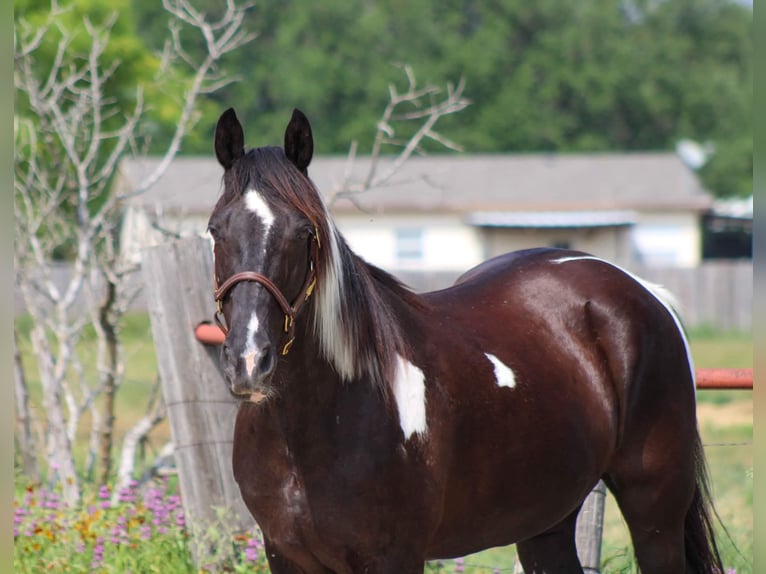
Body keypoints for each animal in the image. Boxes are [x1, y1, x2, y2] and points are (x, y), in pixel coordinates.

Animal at [207, 108, 724, 574]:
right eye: (216, 229)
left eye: (304, 232)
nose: (249, 361)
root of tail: (640, 291)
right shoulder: (285, 555)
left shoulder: (395, 557)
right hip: (545, 521)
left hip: (654, 513)